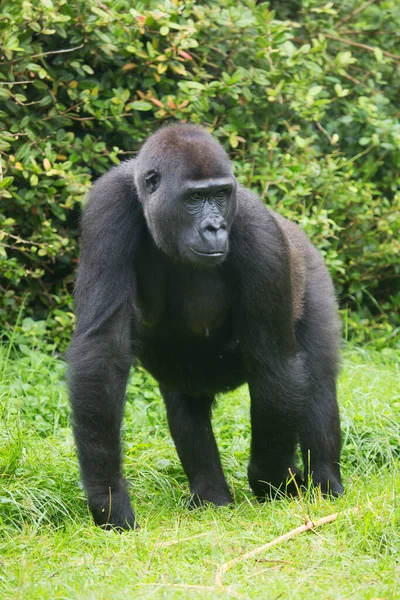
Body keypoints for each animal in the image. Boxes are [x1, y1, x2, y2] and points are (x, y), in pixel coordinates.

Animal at [67, 123, 342, 528]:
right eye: (195, 197)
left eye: (220, 194)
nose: (215, 227)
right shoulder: (107, 207)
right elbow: (102, 352)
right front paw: (108, 496)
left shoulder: (260, 234)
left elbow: (275, 366)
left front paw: (274, 478)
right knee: (186, 404)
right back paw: (211, 496)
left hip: (311, 268)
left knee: (318, 382)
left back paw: (325, 483)